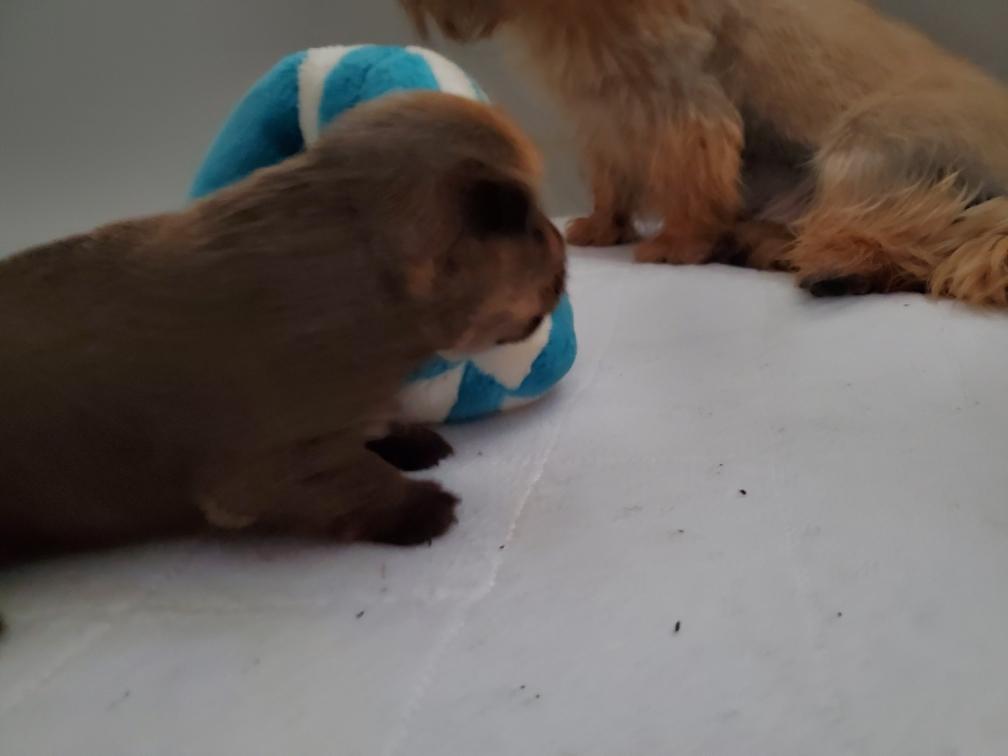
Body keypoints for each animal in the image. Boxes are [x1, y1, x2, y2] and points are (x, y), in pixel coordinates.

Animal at [0, 91, 566, 562]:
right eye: (537, 234)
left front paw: (411, 441)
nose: (563, 248)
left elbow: (374, 429)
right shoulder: (273, 468)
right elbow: (362, 478)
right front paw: (423, 508)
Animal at [402, 0, 1008, 305]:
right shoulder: (606, 112)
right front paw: (603, 227)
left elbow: (691, 181)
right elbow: (611, 180)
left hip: (864, 142)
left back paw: (837, 266)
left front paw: (679, 245)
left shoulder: (682, 103)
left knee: (919, 236)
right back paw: (771, 246)